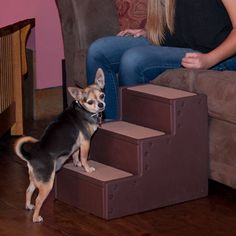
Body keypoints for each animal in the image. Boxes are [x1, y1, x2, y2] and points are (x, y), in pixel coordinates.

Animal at [15, 67, 105, 222]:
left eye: (102, 95)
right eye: (90, 101)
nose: (101, 105)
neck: (82, 109)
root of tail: (31, 157)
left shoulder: (77, 143)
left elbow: (75, 154)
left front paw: (77, 164)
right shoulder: (86, 142)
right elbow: (84, 157)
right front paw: (87, 169)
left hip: (36, 179)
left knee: (28, 190)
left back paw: (28, 206)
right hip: (47, 183)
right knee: (38, 200)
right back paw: (36, 218)